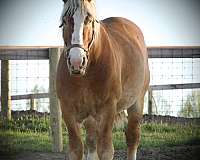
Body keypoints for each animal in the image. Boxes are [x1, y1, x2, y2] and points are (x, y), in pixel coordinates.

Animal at [56, 0, 150, 159]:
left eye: (89, 19)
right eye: (65, 20)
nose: (76, 61)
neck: (85, 76)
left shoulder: (108, 109)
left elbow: (106, 150)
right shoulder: (67, 109)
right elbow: (76, 149)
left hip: (137, 102)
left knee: (132, 138)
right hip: (91, 117)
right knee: (91, 142)